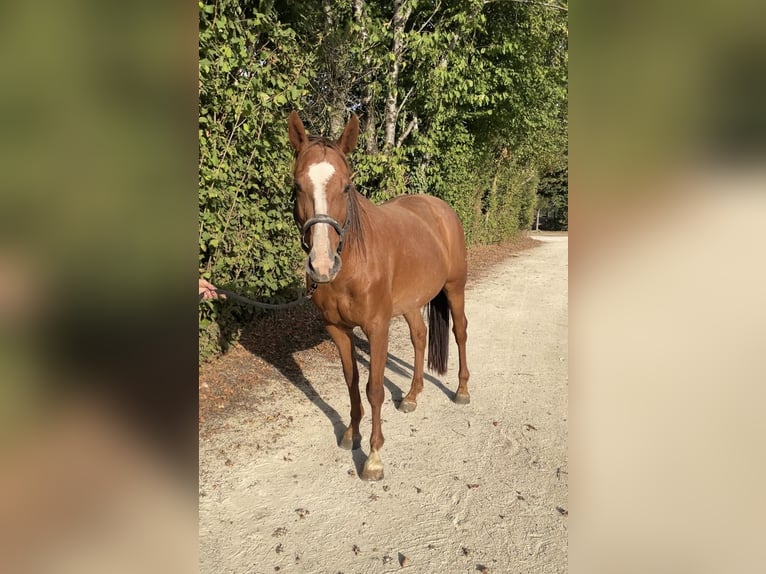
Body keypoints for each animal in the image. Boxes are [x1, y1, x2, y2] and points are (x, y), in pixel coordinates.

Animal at [286, 112, 468, 482]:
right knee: (420, 337)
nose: (322, 265)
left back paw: (462, 391)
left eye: (346, 187)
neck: (353, 263)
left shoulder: (377, 328)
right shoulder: (338, 330)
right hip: (411, 304)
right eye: (297, 186)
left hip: (455, 289)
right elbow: (352, 382)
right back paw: (411, 395)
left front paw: (373, 457)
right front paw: (350, 434)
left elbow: (374, 389)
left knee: (460, 333)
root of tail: (440, 208)